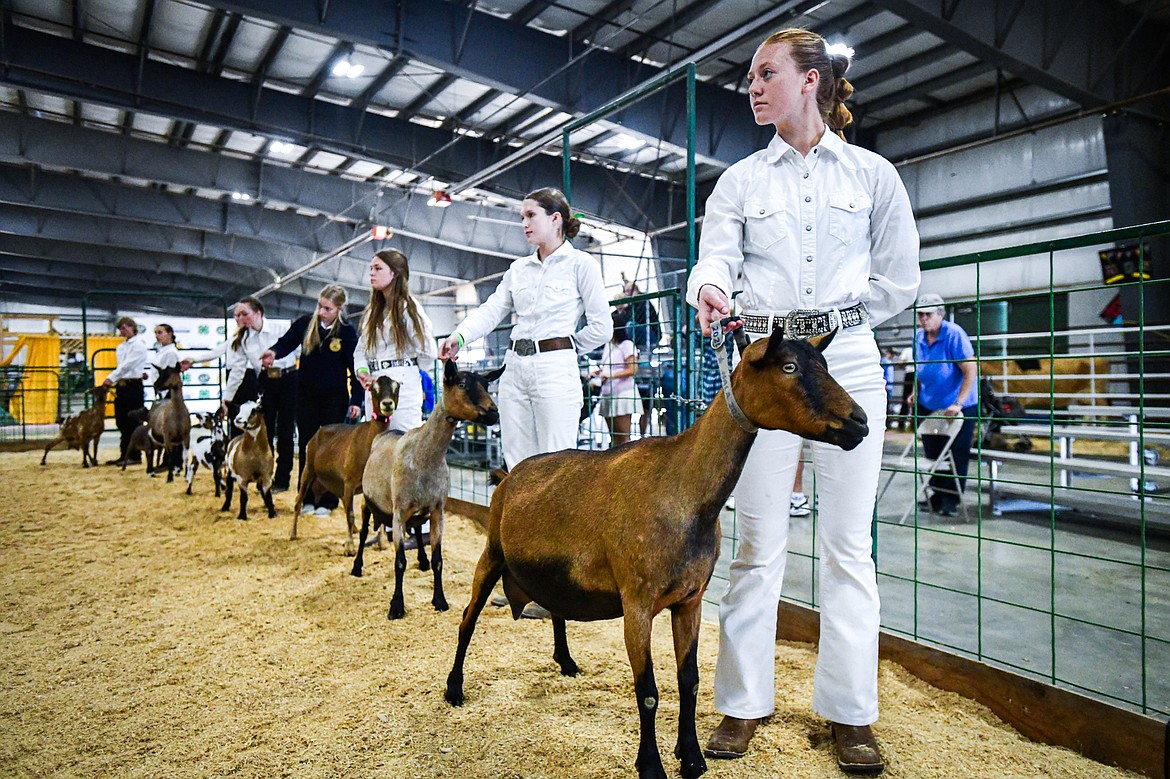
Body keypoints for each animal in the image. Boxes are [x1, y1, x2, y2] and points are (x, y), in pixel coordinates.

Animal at [288, 374, 400, 552]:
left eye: (396, 387)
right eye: (373, 388)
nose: (387, 403)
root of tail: (318, 431)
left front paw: (382, 543)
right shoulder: (349, 482)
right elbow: (350, 514)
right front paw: (349, 547)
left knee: (344, 502)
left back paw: (355, 530)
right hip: (308, 469)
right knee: (298, 501)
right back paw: (293, 534)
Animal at [355, 357, 503, 617]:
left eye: (486, 384)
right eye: (462, 384)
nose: (493, 412)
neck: (424, 455)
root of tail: (386, 434)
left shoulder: (437, 511)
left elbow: (438, 560)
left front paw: (440, 600)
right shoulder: (398, 512)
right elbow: (400, 562)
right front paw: (396, 606)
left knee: (416, 528)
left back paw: (422, 562)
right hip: (367, 501)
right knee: (363, 532)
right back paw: (357, 567)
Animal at [446, 327, 870, 776]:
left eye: (824, 365)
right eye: (789, 367)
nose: (859, 422)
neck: (683, 488)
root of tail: (507, 475)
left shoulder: (690, 601)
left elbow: (690, 681)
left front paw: (692, 756)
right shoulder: (637, 601)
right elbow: (648, 691)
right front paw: (651, 764)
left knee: (555, 610)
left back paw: (566, 662)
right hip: (491, 553)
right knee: (467, 619)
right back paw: (454, 689)